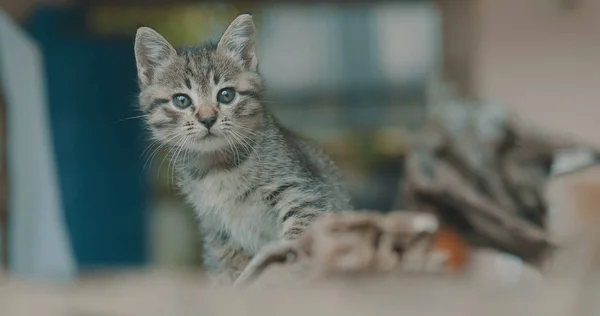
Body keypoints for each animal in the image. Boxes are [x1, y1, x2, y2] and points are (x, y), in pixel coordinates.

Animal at [135, 14, 352, 282]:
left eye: (226, 95)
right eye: (182, 100)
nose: (208, 119)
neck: (218, 166)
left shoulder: (304, 193)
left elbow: (297, 236)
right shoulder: (216, 229)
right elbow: (230, 265)